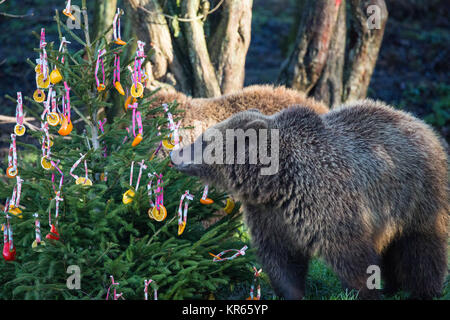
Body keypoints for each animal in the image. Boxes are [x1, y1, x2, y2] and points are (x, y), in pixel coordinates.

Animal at [171, 100, 448, 300]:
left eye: (205, 139)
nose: (175, 153)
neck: (277, 184)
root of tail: (423, 125)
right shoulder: (270, 215)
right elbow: (281, 260)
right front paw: (291, 293)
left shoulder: (330, 202)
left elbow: (352, 257)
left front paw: (365, 292)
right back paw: (394, 287)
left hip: (416, 196)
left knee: (422, 249)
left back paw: (424, 292)